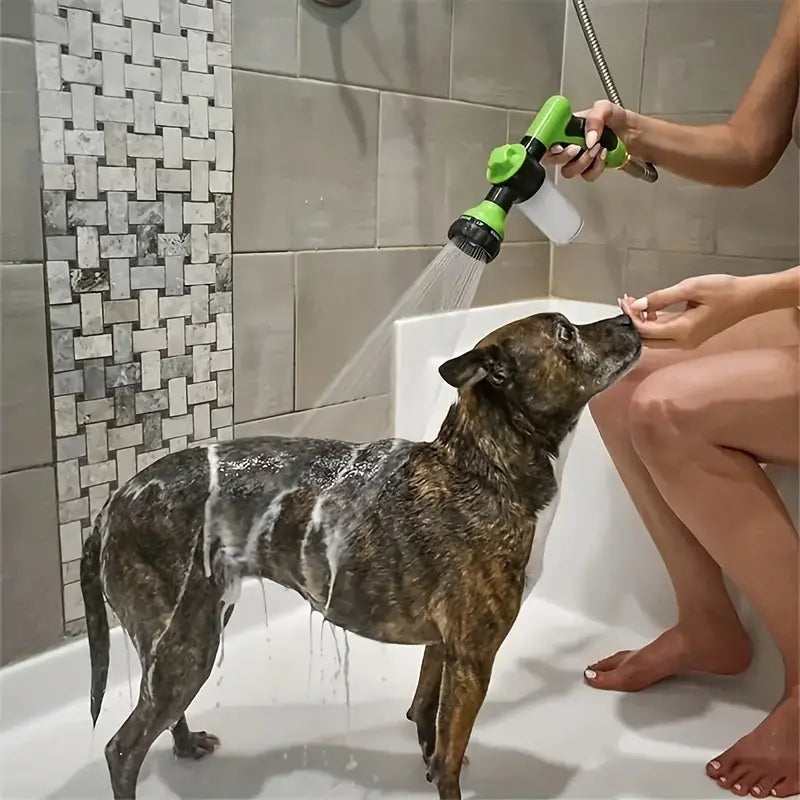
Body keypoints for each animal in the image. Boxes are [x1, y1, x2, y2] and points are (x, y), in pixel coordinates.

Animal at [81, 310, 640, 800]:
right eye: (566, 332)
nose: (630, 317)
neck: (484, 469)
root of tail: (110, 506)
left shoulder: (442, 649)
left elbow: (427, 721)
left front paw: (427, 760)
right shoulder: (473, 658)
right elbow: (450, 760)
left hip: (194, 632)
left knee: (157, 713)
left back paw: (186, 744)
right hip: (187, 644)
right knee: (122, 749)